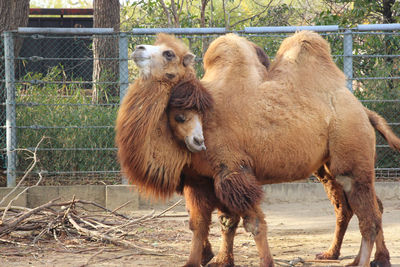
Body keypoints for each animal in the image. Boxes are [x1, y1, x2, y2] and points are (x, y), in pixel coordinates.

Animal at [166, 31, 400, 267]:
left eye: (180, 117)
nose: (196, 140)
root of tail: (364, 110)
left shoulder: (229, 167)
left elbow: (231, 219)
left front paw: (215, 258)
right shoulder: (205, 176)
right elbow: (216, 219)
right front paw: (217, 259)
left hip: (352, 153)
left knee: (367, 212)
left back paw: (368, 259)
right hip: (328, 167)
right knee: (353, 207)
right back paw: (342, 256)